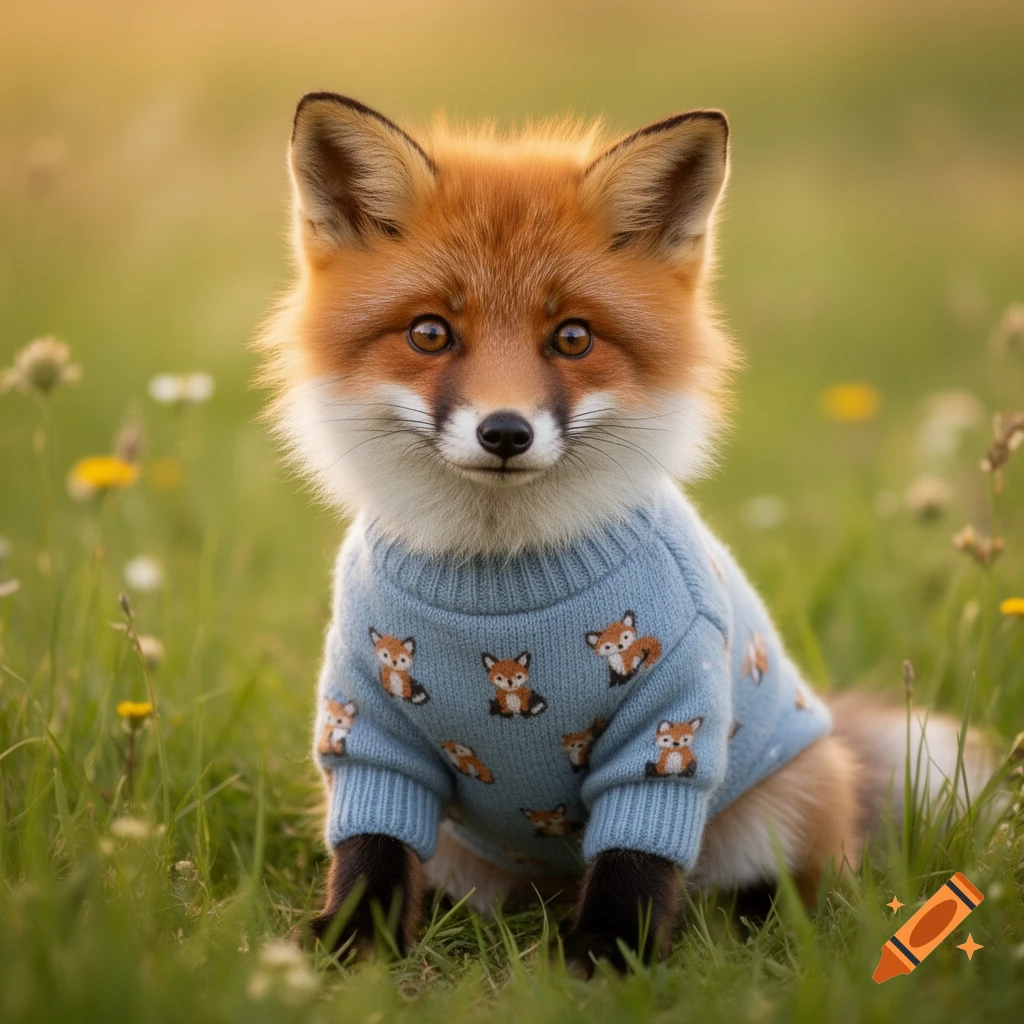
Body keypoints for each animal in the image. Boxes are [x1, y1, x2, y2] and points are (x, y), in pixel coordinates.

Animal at [262, 92, 999, 975]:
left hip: (775, 815)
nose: (504, 433)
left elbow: (636, 865)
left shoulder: (668, 725)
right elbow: (369, 853)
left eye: (572, 337)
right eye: (430, 333)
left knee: (788, 896)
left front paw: (607, 962)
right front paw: (350, 951)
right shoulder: (366, 723)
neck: (501, 576)